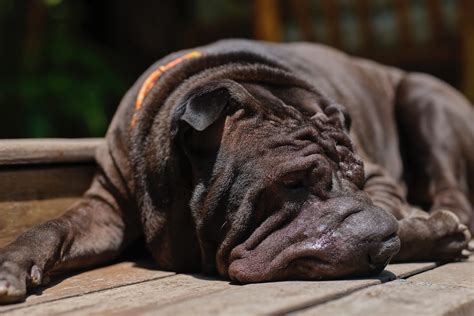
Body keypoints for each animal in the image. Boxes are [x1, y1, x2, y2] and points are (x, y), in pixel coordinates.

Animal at [0, 40, 474, 304]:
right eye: (292, 183)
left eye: (356, 177)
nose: (379, 238)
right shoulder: (106, 209)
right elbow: (53, 227)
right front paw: (11, 265)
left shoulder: (380, 175)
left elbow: (393, 208)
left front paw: (430, 231)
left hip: (423, 95)